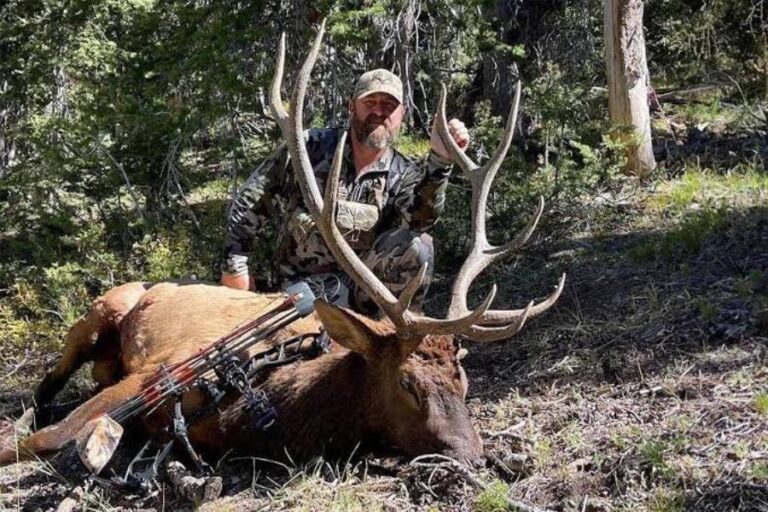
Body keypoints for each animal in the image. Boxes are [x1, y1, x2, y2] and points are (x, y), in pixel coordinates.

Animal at [0, 21, 564, 470]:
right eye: (407, 383)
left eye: (462, 378)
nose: (472, 456)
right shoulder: (148, 379)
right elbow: (40, 440)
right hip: (99, 312)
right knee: (49, 381)